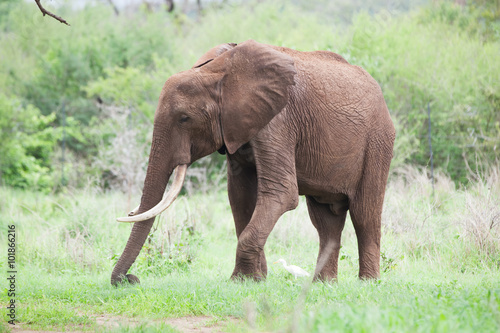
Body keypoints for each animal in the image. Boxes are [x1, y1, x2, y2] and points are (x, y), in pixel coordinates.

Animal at [111, 38, 396, 282]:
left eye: (184, 118)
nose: (130, 279)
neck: (218, 72)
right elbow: (239, 196)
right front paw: (253, 280)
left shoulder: (278, 120)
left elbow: (282, 192)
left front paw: (242, 280)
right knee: (325, 221)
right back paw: (323, 284)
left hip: (378, 141)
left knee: (364, 214)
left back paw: (368, 283)